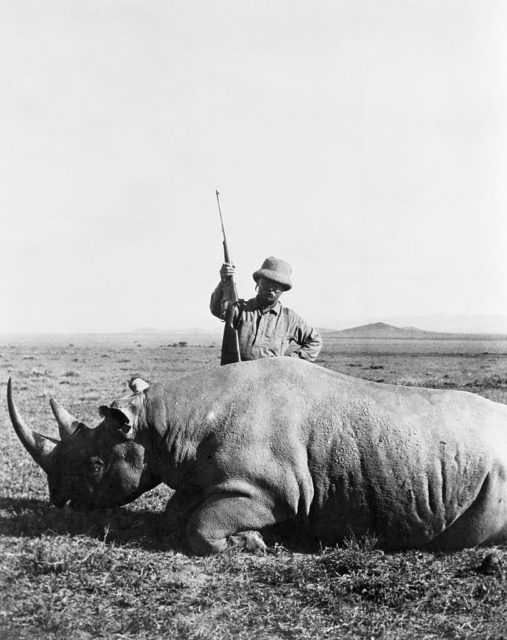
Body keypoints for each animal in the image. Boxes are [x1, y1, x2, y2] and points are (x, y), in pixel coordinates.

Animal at [7, 358, 507, 554]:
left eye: (93, 465)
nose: (59, 500)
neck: (160, 425)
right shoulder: (207, 478)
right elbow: (176, 514)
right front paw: (251, 539)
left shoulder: (269, 491)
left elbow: (198, 526)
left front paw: (249, 544)